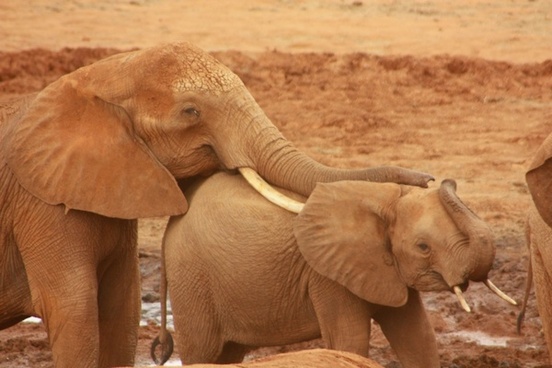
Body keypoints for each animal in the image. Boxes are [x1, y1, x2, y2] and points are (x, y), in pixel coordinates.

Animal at [0, 41, 432, 366]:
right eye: (191, 112)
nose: (429, 179)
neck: (100, 75)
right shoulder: (39, 203)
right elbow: (75, 309)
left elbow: (122, 308)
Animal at [153, 171, 516, 366]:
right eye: (423, 247)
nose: (438, 179)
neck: (384, 200)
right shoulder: (327, 277)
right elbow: (349, 341)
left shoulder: (384, 269)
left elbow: (418, 338)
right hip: (191, 281)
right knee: (201, 351)